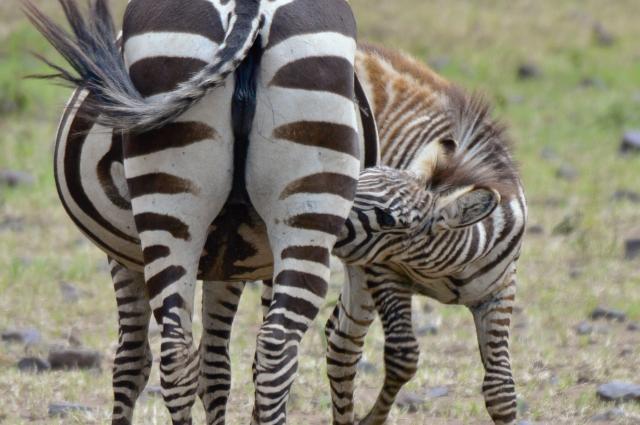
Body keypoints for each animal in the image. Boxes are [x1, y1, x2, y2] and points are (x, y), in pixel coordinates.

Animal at [24, 0, 379, 424]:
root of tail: (248, 8)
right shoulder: (235, 261)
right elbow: (218, 367)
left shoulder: (124, 256)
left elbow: (132, 361)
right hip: (305, 206)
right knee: (274, 348)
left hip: (169, 207)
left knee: (174, 351)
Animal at [325, 45, 527, 425]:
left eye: (389, 219)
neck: (449, 268)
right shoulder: (384, 271)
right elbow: (403, 357)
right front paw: (372, 419)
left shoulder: (499, 291)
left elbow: (501, 390)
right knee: (342, 342)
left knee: (340, 338)